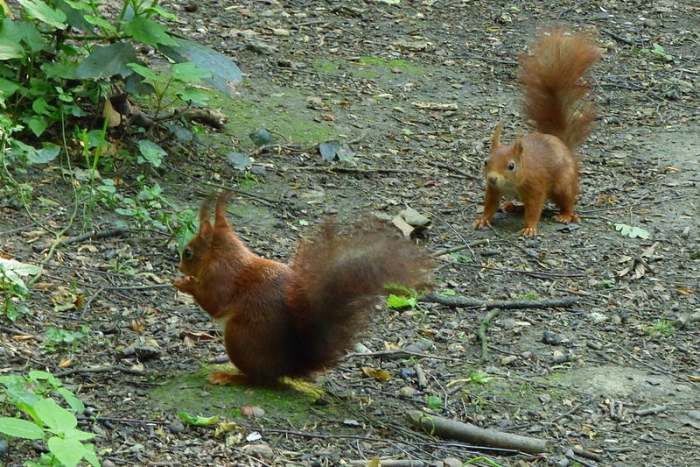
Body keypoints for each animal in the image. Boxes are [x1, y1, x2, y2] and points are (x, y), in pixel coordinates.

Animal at [173, 192, 433, 385]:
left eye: (188, 252)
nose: (180, 266)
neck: (223, 255)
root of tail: (287, 367)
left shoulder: (221, 277)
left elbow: (212, 302)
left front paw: (184, 283)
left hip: (240, 338)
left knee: (258, 378)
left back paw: (228, 376)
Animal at [473, 28, 601, 236]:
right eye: (486, 161)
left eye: (511, 166)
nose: (492, 178)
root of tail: (563, 145)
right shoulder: (493, 190)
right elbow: (490, 205)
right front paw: (483, 220)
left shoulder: (536, 186)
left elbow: (534, 208)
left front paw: (529, 228)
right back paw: (513, 206)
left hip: (562, 185)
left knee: (568, 201)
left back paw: (566, 215)